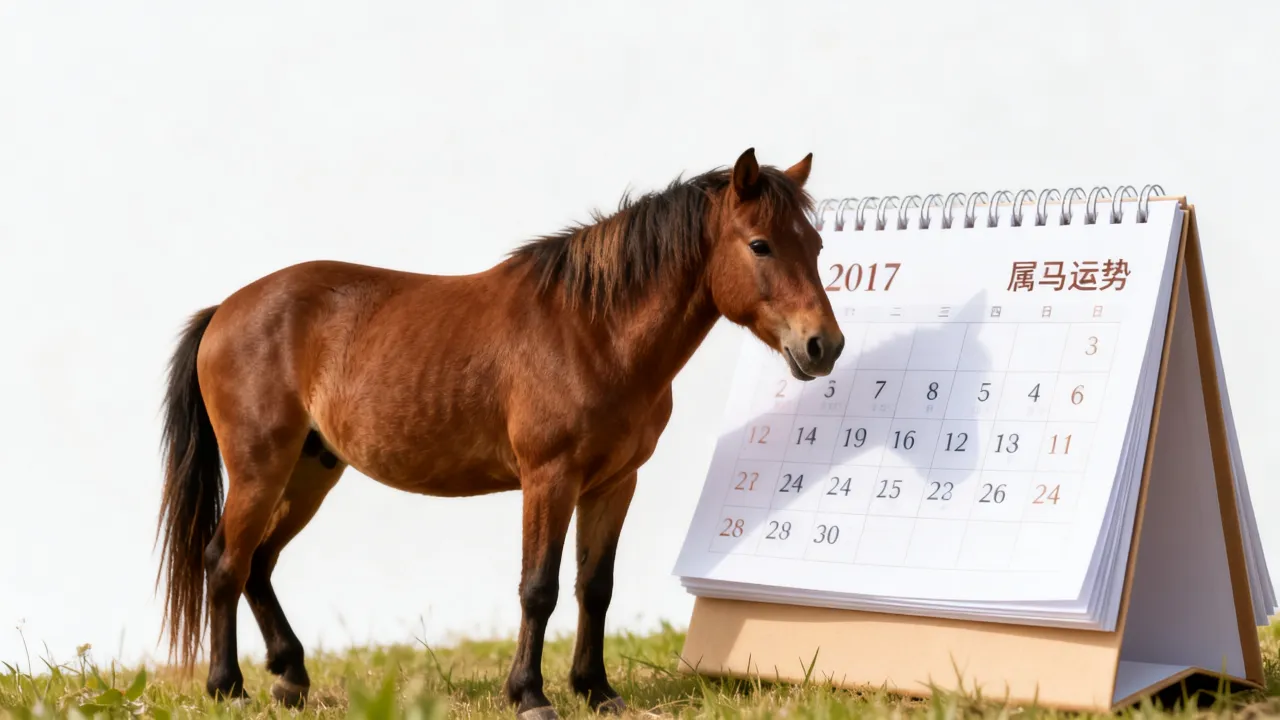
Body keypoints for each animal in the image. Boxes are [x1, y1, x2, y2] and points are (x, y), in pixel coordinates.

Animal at [153, 147, 844, 719]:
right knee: (225, 561)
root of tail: (227, 309)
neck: (593, 329)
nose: (824, 346)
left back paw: (291, 677)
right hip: (260, 468)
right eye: (760, 244)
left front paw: (596, 690)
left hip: (310, 471)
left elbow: (595, 587)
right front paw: (530, 695)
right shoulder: (549, 478)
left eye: (813, 244)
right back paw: (228, 687)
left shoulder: (614, 484)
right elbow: (538, 589)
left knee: (259, 562)